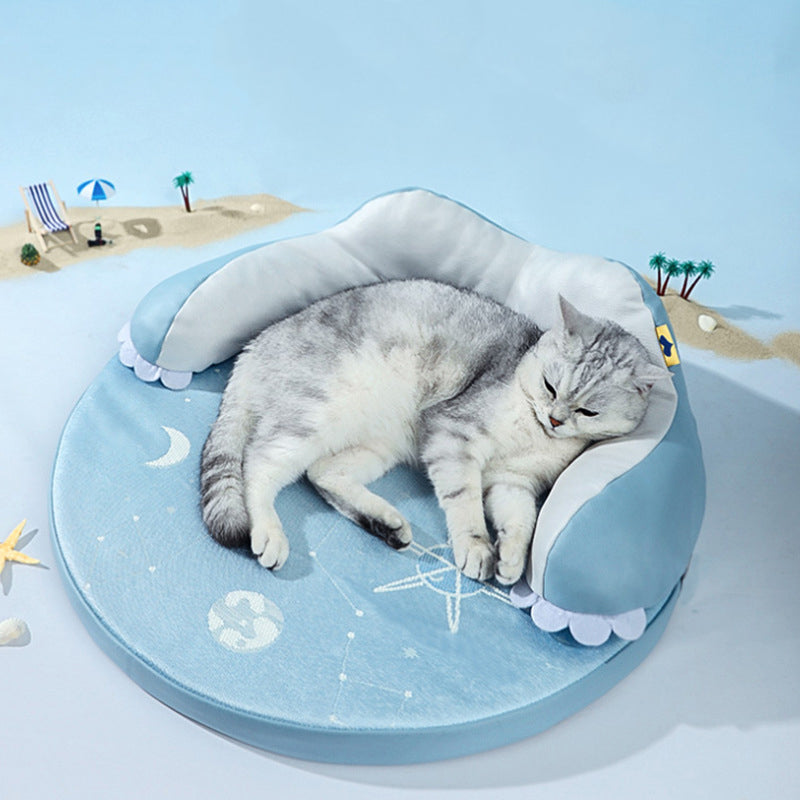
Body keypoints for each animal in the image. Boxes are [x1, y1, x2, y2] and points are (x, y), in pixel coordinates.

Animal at [202, 278, 668, 584]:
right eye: (550, 386)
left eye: (588, 411)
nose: (554, 418)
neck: (532, 432)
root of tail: (254, 347)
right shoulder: (453, 434)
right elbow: (466, 504)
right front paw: (478, 548)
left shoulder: (512, 481)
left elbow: (524, 520)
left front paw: (512, 559)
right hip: (317, 413)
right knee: (257, 463)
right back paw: (270, 533)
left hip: (378, 444)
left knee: (322, 474)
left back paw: (385, 524)